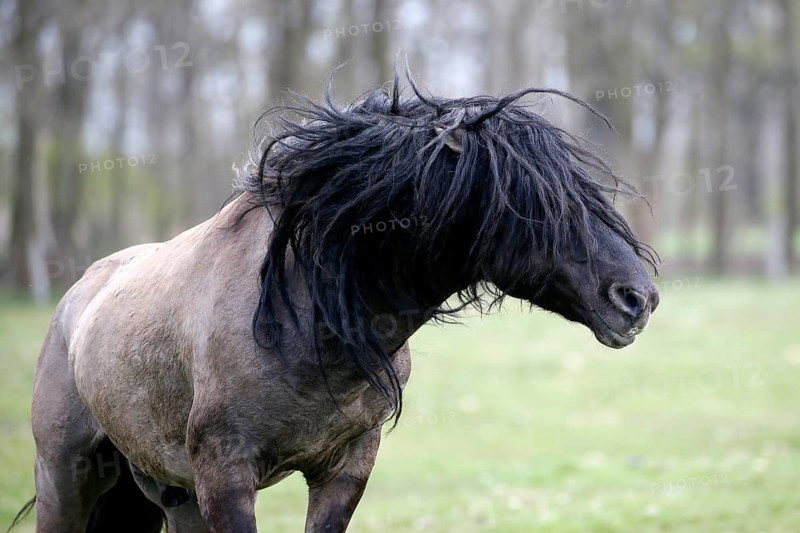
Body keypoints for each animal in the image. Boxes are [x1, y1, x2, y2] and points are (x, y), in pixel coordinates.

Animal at [17, 74, 659, 532]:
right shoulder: (225, 477)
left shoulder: (345, 469)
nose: (639, 299)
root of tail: (79, 294)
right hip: (67, 478)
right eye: (531, 204)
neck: (306, 318)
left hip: (168, 494)